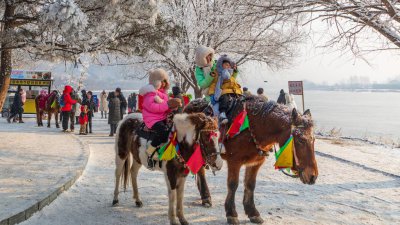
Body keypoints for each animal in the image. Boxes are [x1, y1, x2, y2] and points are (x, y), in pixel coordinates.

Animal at [184, 98, 318, 225]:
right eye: (300, 140)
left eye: (314, 139)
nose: (312, 176)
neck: (253, 128)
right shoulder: (234, 161)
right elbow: (233, 185)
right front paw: (231, 213)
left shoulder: (256, 163)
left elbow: (250, 185)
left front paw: (252, 212)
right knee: (200, 170)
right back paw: (206, 196)